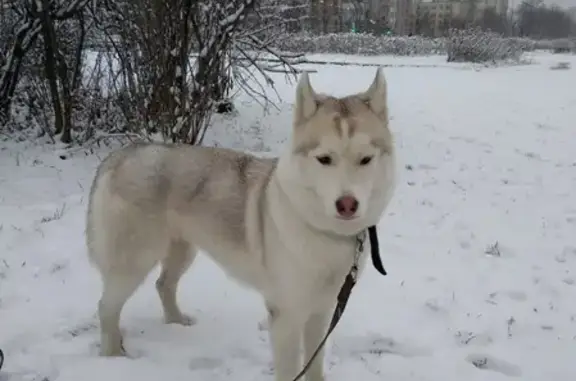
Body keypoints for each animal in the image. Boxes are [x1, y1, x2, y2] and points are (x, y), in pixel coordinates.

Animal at [85, 68, 396, 380]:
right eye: (324, 159)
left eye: (366, 159)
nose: (347, 204)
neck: (325, 234)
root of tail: (122, 155)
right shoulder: (285, 316)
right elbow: (289, 370)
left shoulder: (321, 310)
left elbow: (314, 365)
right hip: (134, 263)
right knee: (105, 306)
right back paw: (113, 357)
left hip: (182, 250)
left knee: (163, 285)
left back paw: (176, 323)